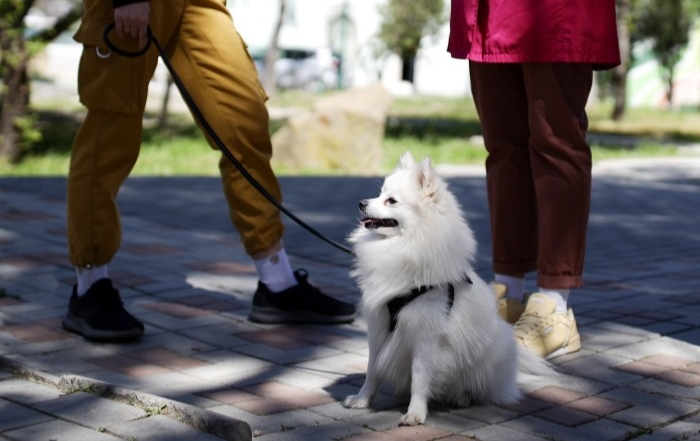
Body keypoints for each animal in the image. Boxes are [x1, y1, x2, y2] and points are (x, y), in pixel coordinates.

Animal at [342, 152, 548, 426]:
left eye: (391, 200)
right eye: (380, 194)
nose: (361, 203)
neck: (405, 246)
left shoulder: (426, 336)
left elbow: (420, 378)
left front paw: (415, 413)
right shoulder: (379, 328)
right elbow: (372, 371)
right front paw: (362, 400)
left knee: (474, 385)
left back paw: (461, 396)